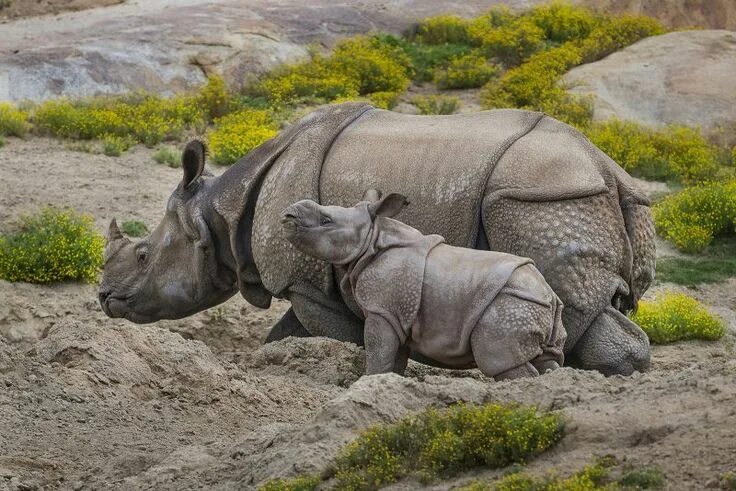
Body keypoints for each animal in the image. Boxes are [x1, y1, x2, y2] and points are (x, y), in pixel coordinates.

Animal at [280, 191, 564, 380]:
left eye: (326, 221)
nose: (289, 213)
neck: (372, 238)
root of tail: (549, 296)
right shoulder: (397, 313)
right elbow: (393, 358)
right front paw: (387, 385)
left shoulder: (381, 309)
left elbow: (377, 351)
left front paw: (366, 382)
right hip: (527, 302)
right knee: (547, 362)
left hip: (511, 304)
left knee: (502, 362)